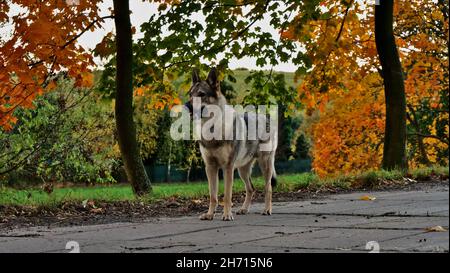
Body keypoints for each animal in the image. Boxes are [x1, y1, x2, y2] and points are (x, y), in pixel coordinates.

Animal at [184, 67, 278, 220]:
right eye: (190, 94)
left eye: (201, 94)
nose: (186, 105)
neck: (212, 128)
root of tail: (267, 118)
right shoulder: (210, 167)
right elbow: (213, 196)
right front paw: (209, 215)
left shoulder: (227, 167)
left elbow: (227, 195)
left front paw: (227, 215)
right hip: (242, 170)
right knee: (251, 188)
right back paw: (244, 209)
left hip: (265, 165)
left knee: (268, 188)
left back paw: (267, 210)